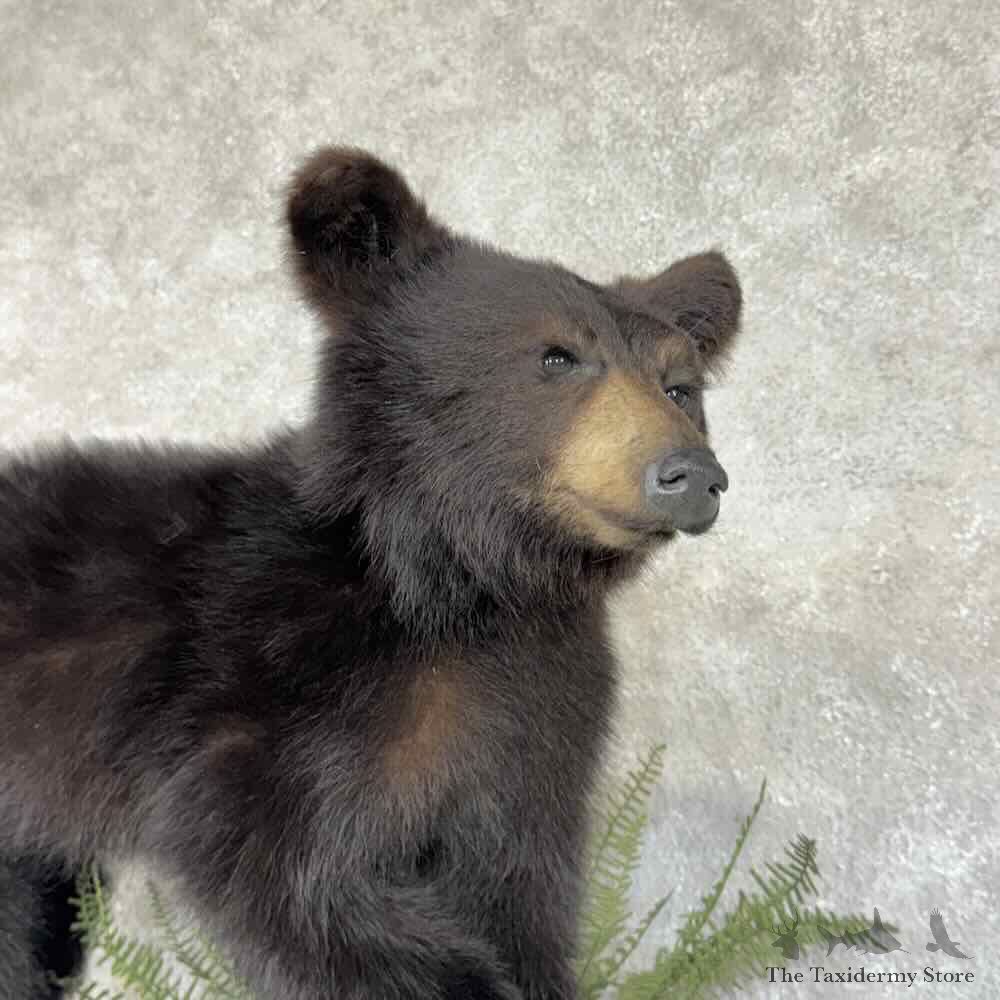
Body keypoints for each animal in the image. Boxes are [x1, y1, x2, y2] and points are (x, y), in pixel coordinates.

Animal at [0, 147, 741, 1000]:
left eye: (680, 387)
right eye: (557, 356)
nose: (691, 474)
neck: (460, 585)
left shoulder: (537, 722)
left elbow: (520, 890)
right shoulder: (270, 701)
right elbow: (303, 888)